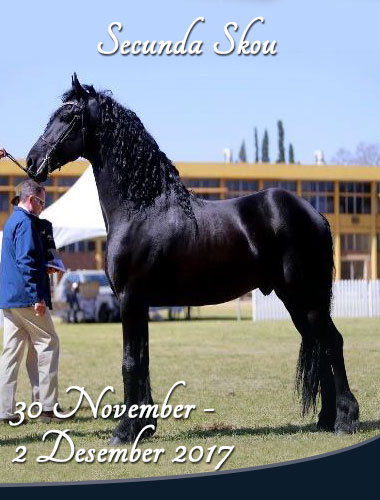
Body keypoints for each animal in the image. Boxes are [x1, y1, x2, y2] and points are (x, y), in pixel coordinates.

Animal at [26, 74, 360, 442]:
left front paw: (124, 431)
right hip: (298, 300)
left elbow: (130, 362)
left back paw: (346, 419)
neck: (141, 208)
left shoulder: (130, 299)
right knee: (319, 344)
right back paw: (326, 419)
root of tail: (316, 215)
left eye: (67, 117)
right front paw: (144, 425)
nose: (31, 162)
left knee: (332, 343)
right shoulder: (139, 303)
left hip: (305, 297)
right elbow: (142, 359)